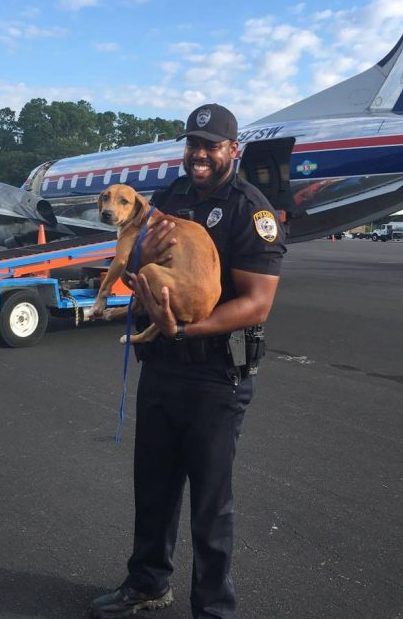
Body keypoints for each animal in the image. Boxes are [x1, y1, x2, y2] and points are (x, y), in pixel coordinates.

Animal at [90, 184, 223, 344]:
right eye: (105, 197)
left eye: (124, 201)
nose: (106, 213)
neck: (139, 218)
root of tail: (202, 315)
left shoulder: (120, 258)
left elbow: (104, 286)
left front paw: (96, 307)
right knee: (142, 310)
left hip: (149, 269)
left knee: (161, 322)